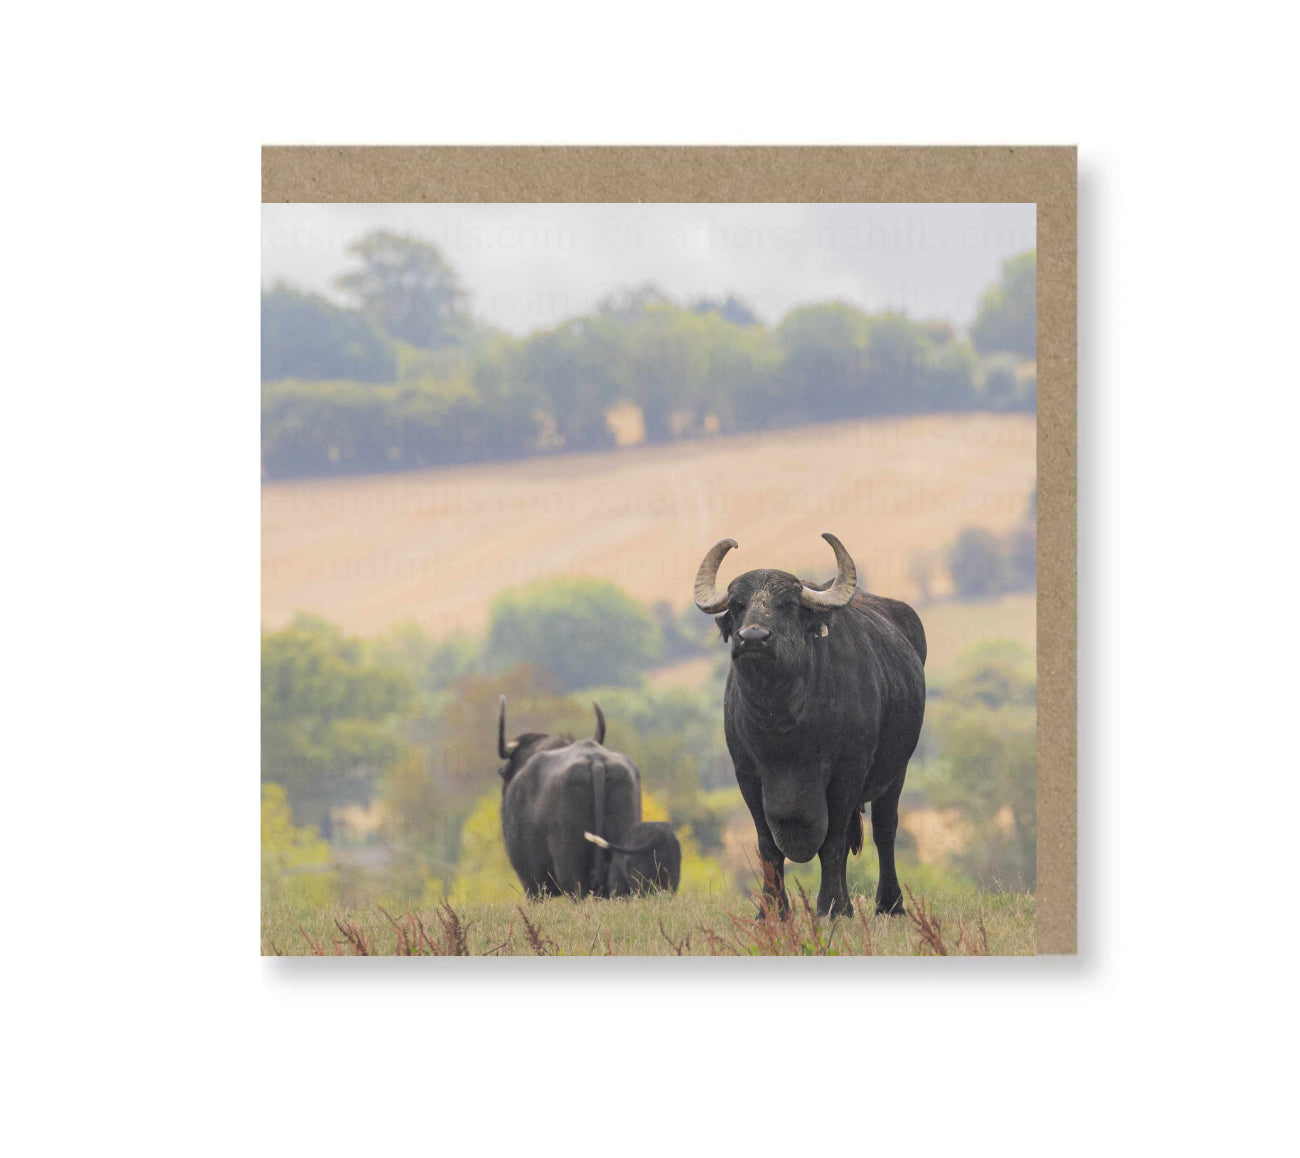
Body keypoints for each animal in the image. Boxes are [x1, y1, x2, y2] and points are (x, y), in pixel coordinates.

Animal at [693, 532, 926, 918]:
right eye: (739, 604)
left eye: (787, 604)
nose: (753, 637)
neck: (784, 726)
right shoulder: (747, 775)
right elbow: (768, 845)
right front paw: (772, 909)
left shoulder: (847, 772)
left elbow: (832, 842)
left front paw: (832, 906)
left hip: (897, 769)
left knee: (884, 829)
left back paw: (889, 903)